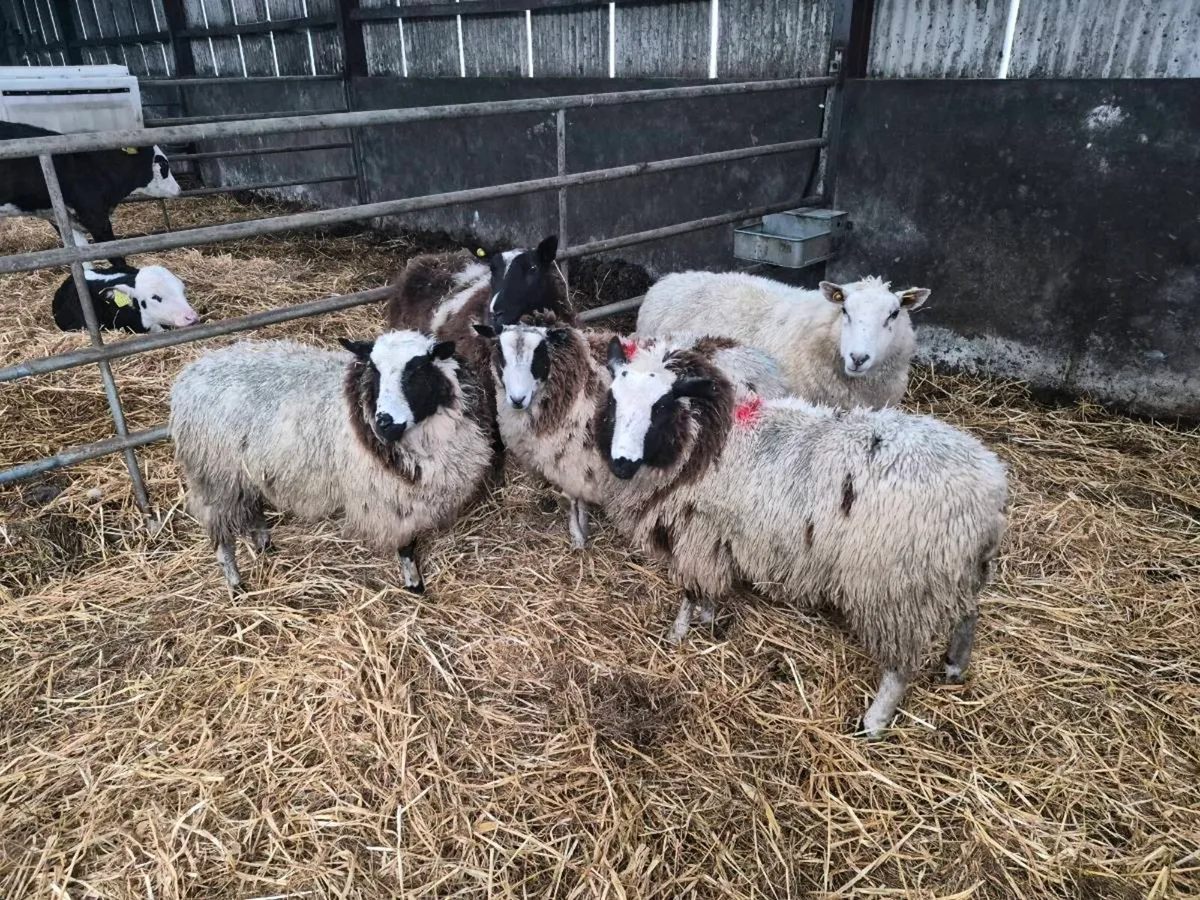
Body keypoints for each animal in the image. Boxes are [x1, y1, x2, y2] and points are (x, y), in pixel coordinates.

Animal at [169, 331, 493, 593]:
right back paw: (236, 584)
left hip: (244, 472)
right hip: (215, 476)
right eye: (374, 372)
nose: (384, 423)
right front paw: (413, 583)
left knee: (253, 507)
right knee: (222, 535)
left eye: (417, 370)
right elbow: (406, 545)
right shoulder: (390, 499)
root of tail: (189, 376)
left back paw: (264, 545)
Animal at [471, 318, 786, 549]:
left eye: (539, 356)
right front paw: (580, 534)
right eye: (500, 355)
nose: (517, 399)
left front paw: (580, 537)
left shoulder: (577, 462)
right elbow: (575, 501)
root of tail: (763, 359)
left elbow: (576, 500)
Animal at [595, 339, 1008, 737]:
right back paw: (954, 666)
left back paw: (874, 722)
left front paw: (677, 635)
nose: (621, 464)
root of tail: (990, 490)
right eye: (613, 399)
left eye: (662, 405)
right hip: (949, 572)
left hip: (894, 585)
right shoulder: (712, 537)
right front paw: (707, 622)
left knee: (900, 667)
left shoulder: (697, 532)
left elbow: (690, 592)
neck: (705, 439)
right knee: (969, 613)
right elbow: (707, 590)